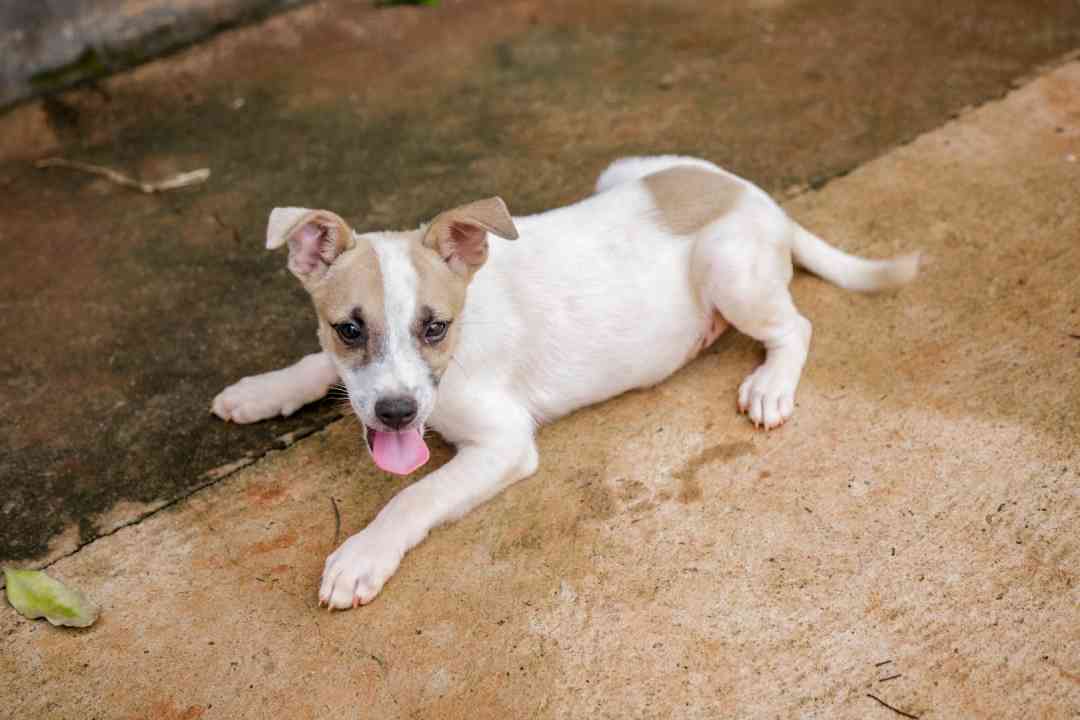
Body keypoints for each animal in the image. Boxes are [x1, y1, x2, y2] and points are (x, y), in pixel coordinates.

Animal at [212, 153, 920, 608]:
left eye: (435, 328)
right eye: (349, 330)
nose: (394, 413)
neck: (465, 333)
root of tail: (755, 194)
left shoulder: (502, 445)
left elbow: (412, 496)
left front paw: (362, 555)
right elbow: (316, 364)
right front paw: (263, 389)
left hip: (728, 268)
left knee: (795, 326)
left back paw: (771, 383)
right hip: (622, 173)